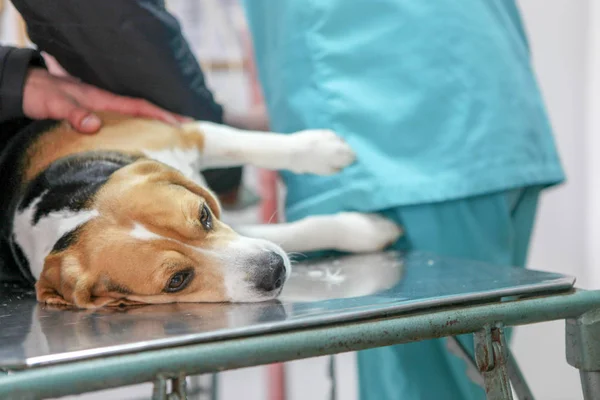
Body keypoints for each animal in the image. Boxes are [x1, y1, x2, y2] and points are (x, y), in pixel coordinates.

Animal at [1, 114, 404, 308]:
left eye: (204, 216)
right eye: (176, 281)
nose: (275, 269)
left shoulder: (182, 135)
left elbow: (247, 142)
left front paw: (321, 149)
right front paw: (369, 229)